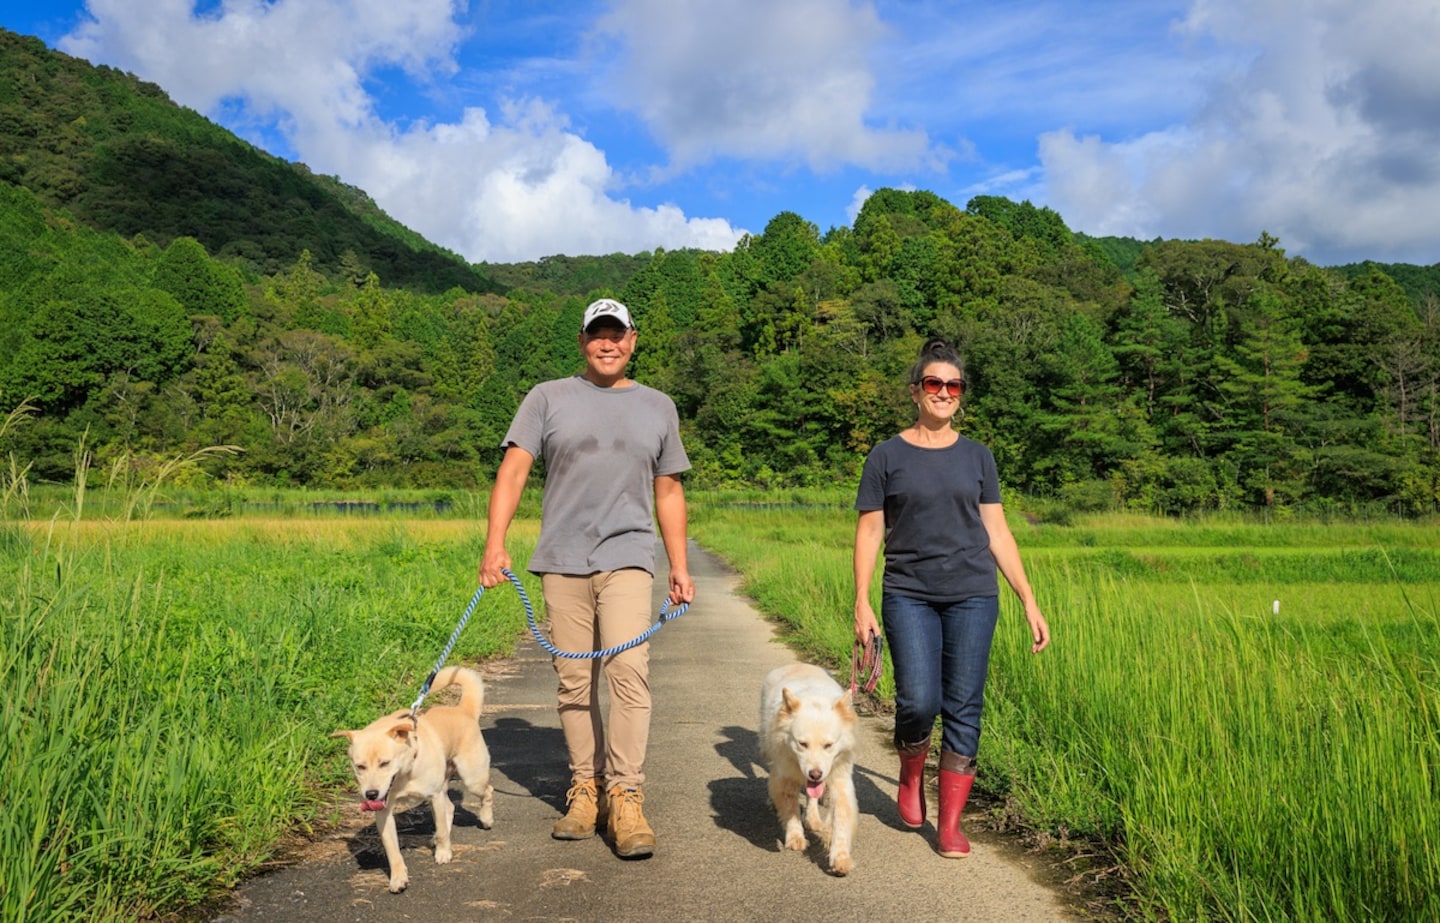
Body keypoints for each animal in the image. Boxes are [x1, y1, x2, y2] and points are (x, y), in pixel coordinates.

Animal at [331, 665, 495, 887]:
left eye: (385, 763)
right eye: (360, 766)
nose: (371, 794)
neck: (405, 774)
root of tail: (463, 710)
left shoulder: (434, 796)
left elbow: (442, 829)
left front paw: (443, 853)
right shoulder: (384, 811)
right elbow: (392, 848)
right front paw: (398, 877)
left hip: (472, 778)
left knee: (487, 792)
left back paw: (486, 819)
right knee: (450, 808)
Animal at [760, 662, 858, 869]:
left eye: (828, 745)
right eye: (802, 744)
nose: (815, 774)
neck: (815, 700)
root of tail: (798, 664)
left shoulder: (840, 778)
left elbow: (842, 817)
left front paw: (840, 856)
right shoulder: (785, 774)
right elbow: (790, 808)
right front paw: (795, 837)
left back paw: (813, 819)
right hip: (766, 748)